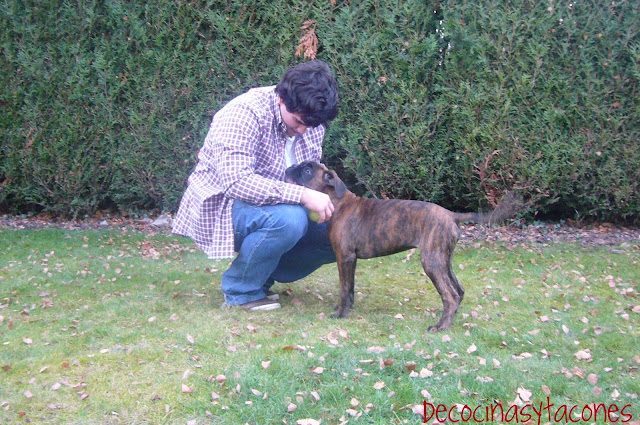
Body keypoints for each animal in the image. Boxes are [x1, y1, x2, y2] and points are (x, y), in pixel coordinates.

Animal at [285, 161, 519, 331]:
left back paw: (440, 327)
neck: (338, 200)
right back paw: (448, 319)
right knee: (459, 290)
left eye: (307, 170)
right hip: (443, 259)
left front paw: (341, 314)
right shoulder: (350, 260)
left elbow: (344, 289)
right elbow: (349, 288)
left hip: (432, 261)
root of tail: (451, 215)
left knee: (451, 295)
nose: (289, 168)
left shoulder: (345, 257)